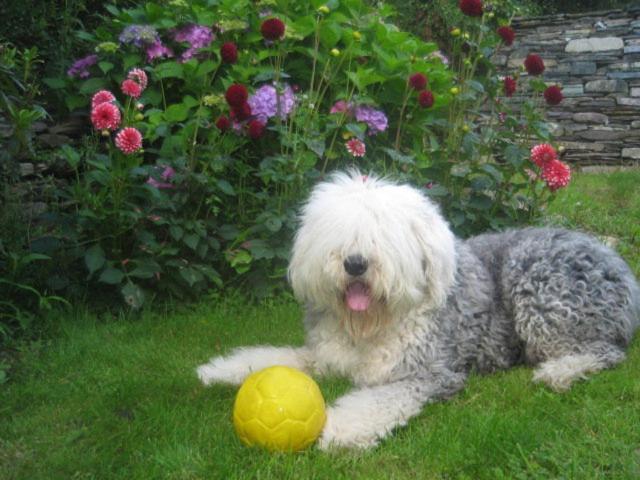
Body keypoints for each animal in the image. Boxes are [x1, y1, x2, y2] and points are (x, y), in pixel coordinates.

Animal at [196, 172, 640, 450]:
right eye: (340, 235)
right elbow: (275, 359)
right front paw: (218, 370)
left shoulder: (428, 373)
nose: (355, 264)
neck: (370, 325)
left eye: (383, 236)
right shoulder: (324, 357)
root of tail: (620, 266)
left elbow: (379, 401)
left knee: (603, 350)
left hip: (539, 289)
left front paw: (341, 429)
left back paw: (558, 372)